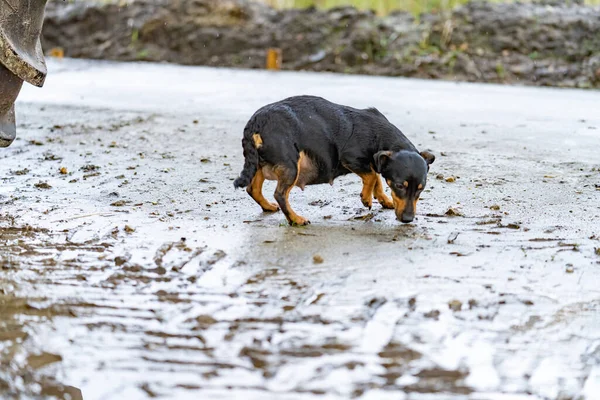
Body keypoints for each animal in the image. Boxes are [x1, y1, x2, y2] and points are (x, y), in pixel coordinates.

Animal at [234, 95, 436, 223]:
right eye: (400, 185)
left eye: (421, 188)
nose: (408, 219)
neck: (378, 135)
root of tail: (256, 122)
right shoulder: (352, 158)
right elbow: (372, 176)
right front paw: (366, 198)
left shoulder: (374, 161)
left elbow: (376, 177)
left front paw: (384, 199)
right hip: (291, 165)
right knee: (280, 194)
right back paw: (296, 219)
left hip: (260, 164)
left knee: (253, 189)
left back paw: (268, 207)